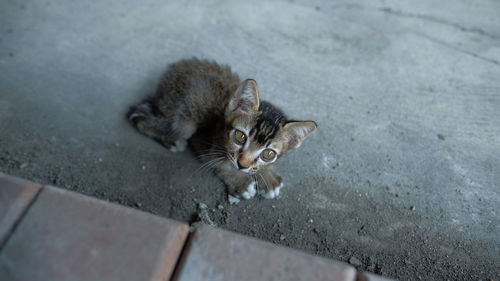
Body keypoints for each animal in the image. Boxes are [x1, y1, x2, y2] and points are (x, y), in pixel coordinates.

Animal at [129, 58, 316, 199]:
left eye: (268, 154)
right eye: (240, 137)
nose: (242, 165)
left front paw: (267, 177)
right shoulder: (201, 139)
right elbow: (219, 163)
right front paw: (239, 181)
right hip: (185, 122)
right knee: (140, 119)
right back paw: (172, 141)